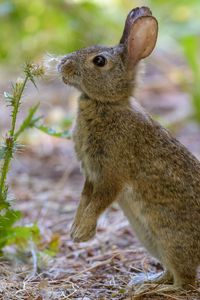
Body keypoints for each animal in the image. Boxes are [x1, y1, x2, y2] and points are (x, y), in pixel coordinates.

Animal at [57, 6, 200, 292]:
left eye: (99, 61)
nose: (62, 65)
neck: (107, 104)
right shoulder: (91, 175)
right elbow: (84, 199)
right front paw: (76, 231)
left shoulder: (111, 173)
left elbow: (99, 201)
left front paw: (81, 233)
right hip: (152, 242)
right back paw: (145, 281)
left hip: (172, 239)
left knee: (186, 281)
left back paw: (153, 289)